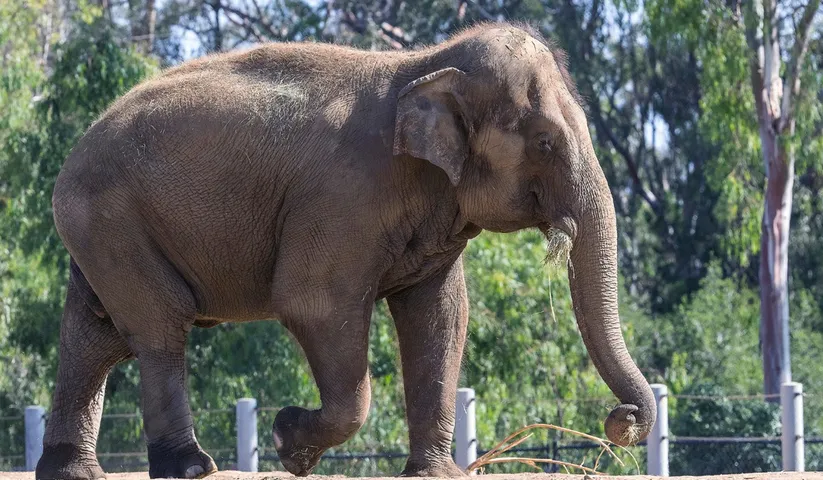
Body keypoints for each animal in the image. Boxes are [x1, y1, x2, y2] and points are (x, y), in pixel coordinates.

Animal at [36, 21, 655, 480]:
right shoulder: (341, 200)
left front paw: (435, 475)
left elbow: (440, 315)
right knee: (160, 327)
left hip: (102, 230)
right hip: (112, 221)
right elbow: (314, 304)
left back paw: (73, 473)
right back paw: (191, 468)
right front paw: (288, 441)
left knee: (94, 334)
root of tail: (71, 154)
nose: (621, 421)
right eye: (545, 142)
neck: (420, 65)